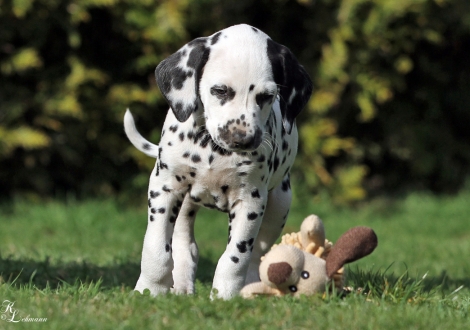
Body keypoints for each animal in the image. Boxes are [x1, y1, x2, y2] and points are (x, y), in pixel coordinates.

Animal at [125, 23, 312, 300]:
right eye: (220, 91)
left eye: (267, 96)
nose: (242, 138)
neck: (212, 151)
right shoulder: (164, 188)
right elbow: (156, 249)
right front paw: (149, 289)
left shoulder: (250, 201)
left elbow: (235, 257)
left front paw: (224, 297)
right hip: (184, 206)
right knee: (186, 247)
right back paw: (181, 287)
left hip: (279, 204)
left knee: (258, 255)